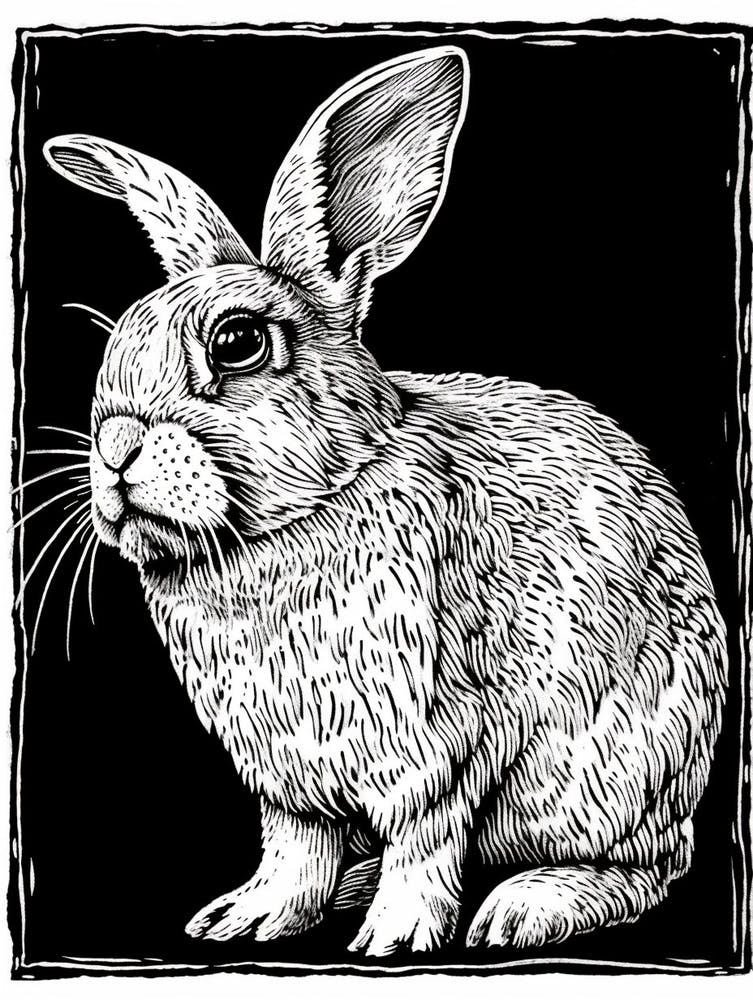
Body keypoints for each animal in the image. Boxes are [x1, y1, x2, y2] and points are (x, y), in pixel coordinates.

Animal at [43, 45, 727, 957]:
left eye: (237, 342)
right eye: (117, 340)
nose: (115, 448)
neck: (294, 519)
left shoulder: (447, 738)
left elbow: (423, 838)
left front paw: (396, 939)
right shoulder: (286, 774)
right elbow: (294, 846)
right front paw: (248, 919)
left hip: (610, 773)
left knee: (638, 869)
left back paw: (519, 910)